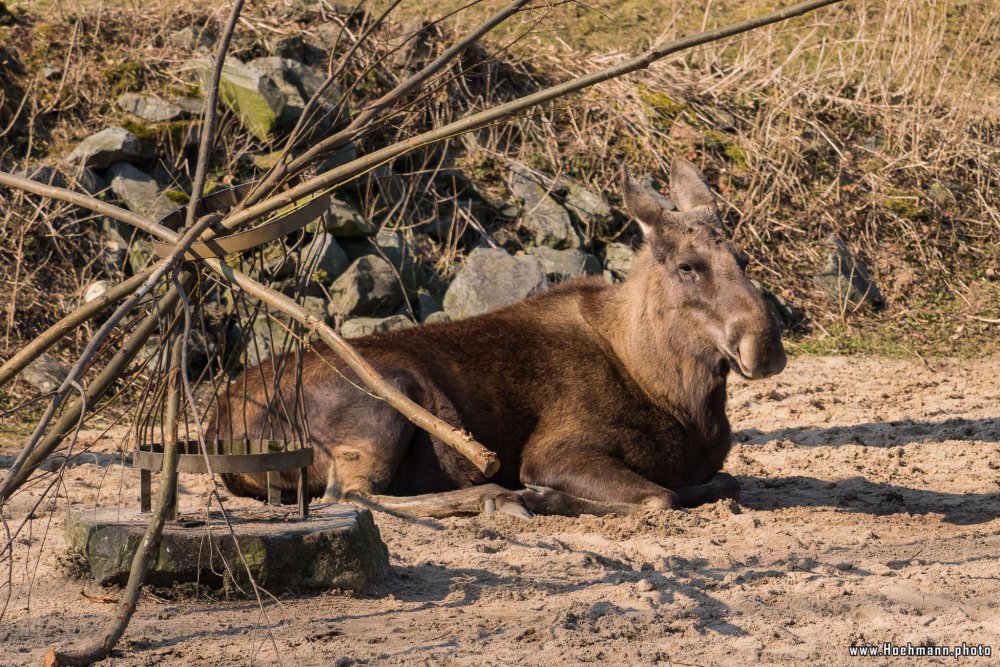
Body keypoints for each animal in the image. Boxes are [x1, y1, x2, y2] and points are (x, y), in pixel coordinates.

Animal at [213, 159, 788, 520]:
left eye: (743, 259)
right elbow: (659, 497)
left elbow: (720, 482)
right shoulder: (556, 452)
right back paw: (499, 498)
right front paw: (541, 497)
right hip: (382, 404)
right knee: (351, 496)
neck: (680, 397)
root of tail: (222, 429)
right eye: (688, 266)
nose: (765, 347)